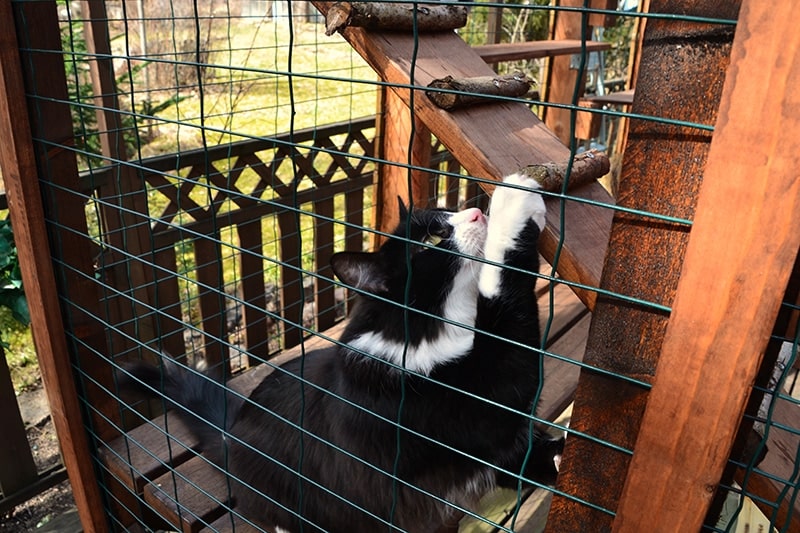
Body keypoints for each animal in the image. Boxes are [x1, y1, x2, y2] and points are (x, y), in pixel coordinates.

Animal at [126, 172, 564, 528]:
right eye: (433, 240)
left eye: (445, 213)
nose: (474, 212)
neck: (426, 330)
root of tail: (229, 432)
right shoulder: (484, 393)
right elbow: (504, 290)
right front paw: (516, 196)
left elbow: (526, 455)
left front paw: (560, 459)